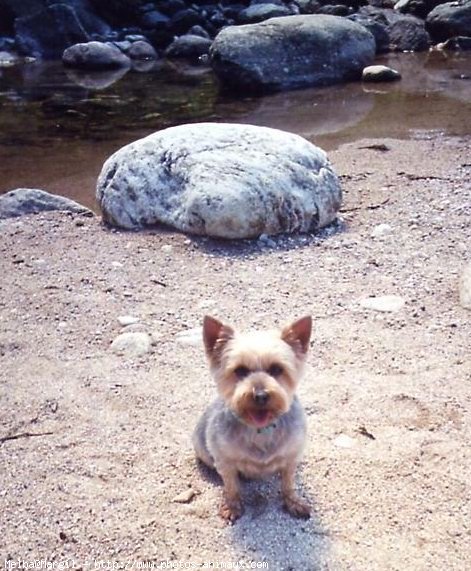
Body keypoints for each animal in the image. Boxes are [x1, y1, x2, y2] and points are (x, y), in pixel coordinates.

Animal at [194, 316, 312, 524]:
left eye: (276, 369)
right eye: (240, 370)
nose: (260, 395)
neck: (260, 429)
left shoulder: (291, 457)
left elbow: (288, 483)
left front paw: (293, 502)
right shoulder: (225, 461)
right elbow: (231, 486)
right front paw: (232, 506)